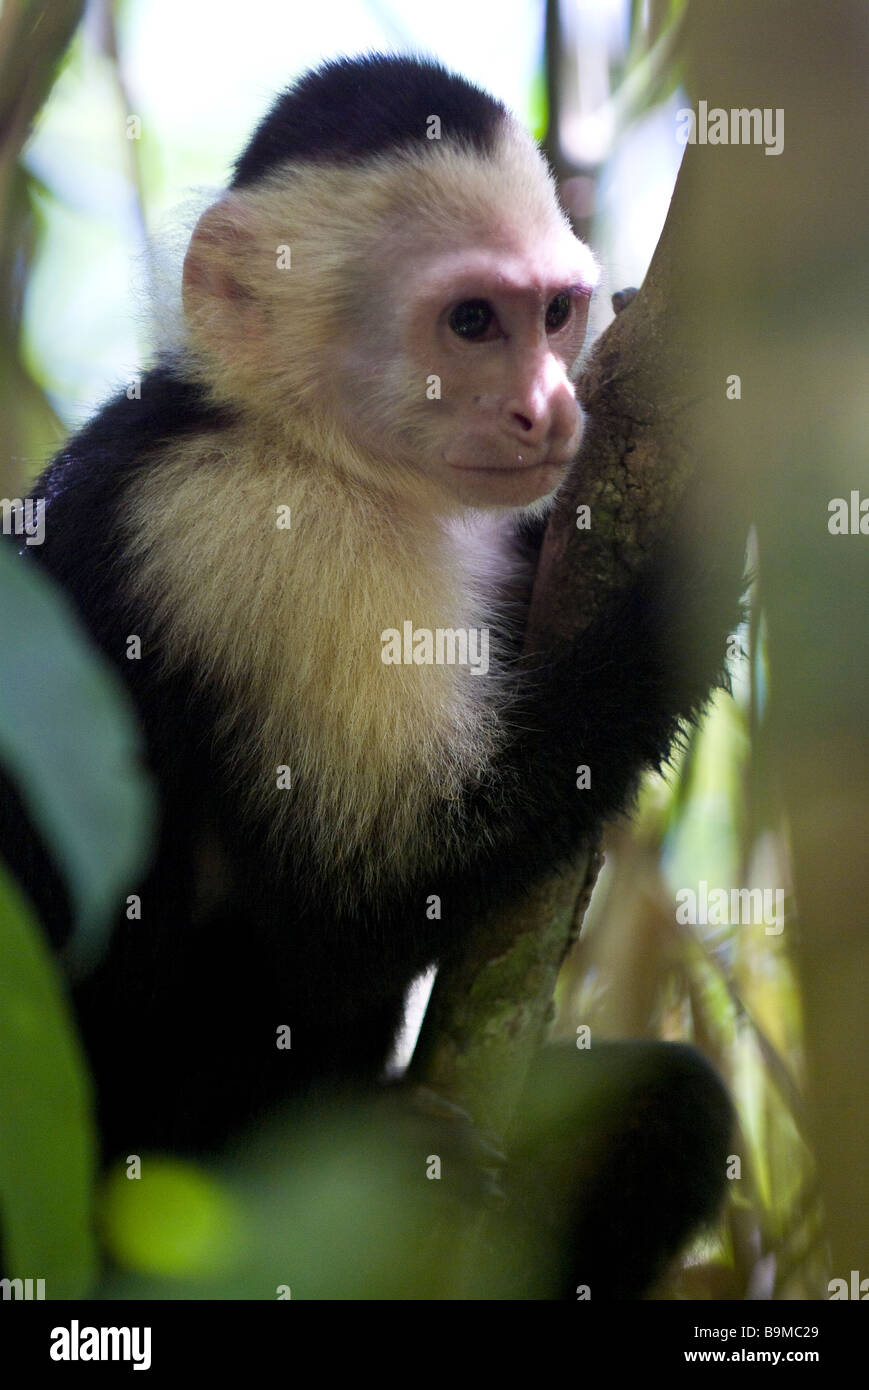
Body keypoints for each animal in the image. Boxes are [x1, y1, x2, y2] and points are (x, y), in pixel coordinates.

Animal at [0, 54, 740, 1298]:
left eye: (555, 314)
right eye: (471, 321)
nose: (548, 407)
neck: (299, 441)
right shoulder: (251, 538)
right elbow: (347, 905)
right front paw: (693, 588)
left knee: (676, 1114)